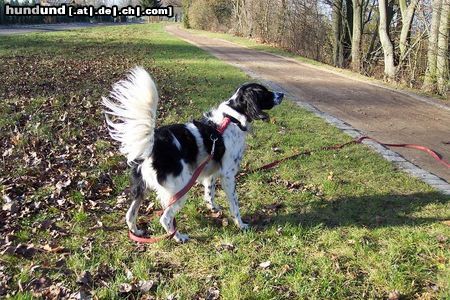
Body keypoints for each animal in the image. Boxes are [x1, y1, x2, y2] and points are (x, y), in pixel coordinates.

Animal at [103, 67, 284, 243]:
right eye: (265, 92)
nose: (282, 94)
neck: (232, 118)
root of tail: (153, 144)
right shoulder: (228, 175)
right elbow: (235, 205)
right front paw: (240, 224)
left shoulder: (210, 172)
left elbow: (209, 194)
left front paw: (213, 208)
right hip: (180, 187)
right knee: (165, 218)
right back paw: (178, 237)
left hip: (142, 188)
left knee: (130, 214)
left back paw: (137, 232)